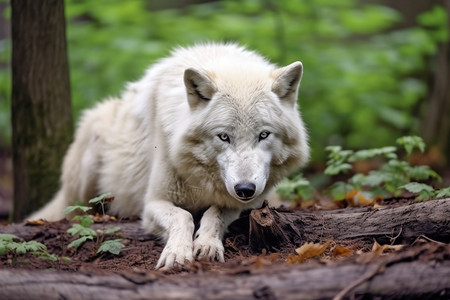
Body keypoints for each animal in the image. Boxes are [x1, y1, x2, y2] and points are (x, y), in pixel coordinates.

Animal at [29, 44, 308, 270]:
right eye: (223, 137)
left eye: (263, 135)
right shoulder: (153, 201)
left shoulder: (250, 200)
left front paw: (207, 244)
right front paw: (177, 253)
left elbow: (216, 212)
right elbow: (183, 217)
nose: (245, 188)